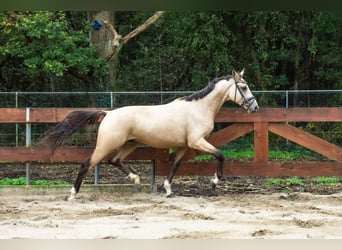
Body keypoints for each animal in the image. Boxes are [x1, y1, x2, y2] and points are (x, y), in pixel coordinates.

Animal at [41, 68, 258, 199]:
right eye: (244, 87)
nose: (254, 107)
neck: (199, 108)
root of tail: (108, 113)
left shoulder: (183, 145)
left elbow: (175, 165)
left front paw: (168, 189)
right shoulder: (196, 141)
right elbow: (220, 154)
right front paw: (214, 182)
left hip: (130, 143)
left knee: (115, 160)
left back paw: (136, 179)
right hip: (106, 145)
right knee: (87, 164)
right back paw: (72, 193)